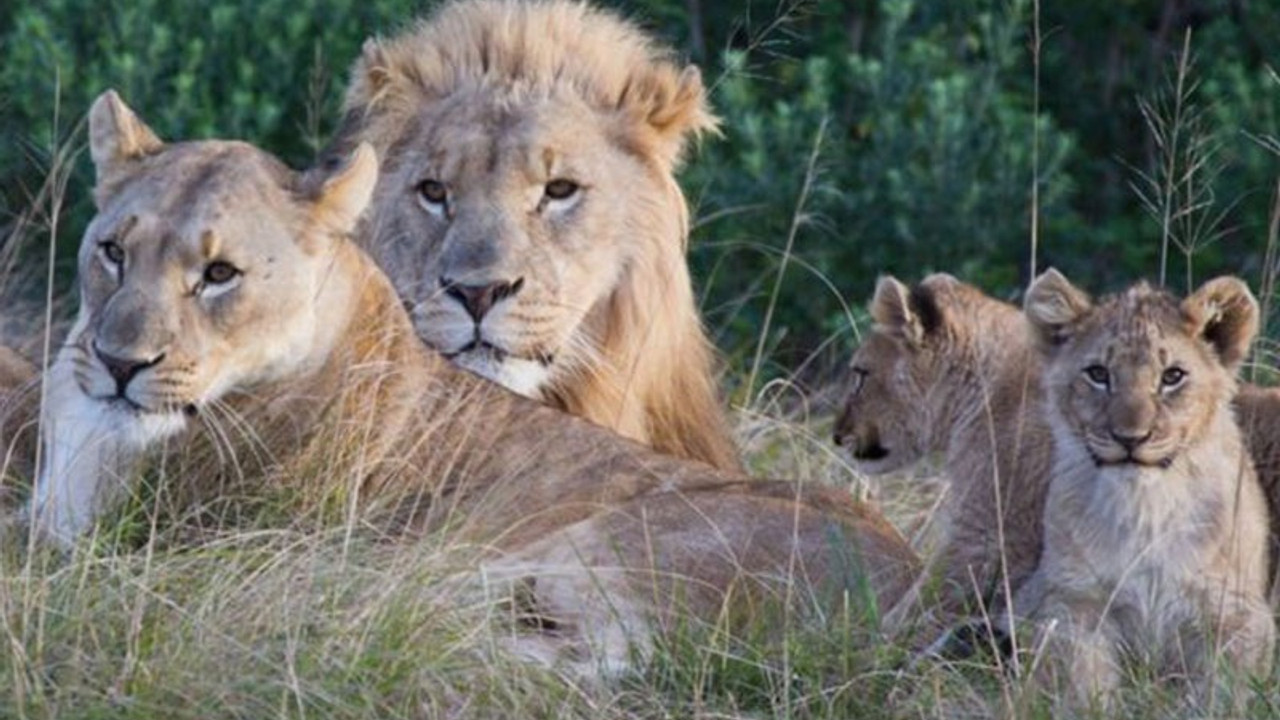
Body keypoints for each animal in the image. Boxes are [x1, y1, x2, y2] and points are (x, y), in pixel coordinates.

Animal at [24, 89, 916, 671]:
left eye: (218, 275)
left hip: (583, 548)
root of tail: (920, 600)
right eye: (112, 252)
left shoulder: (153, 552)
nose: (120, 364)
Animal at [1013, 267, 1274, 707]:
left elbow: (1220, 692)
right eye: (1098, 374)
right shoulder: (1071, 603)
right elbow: (1083, 683)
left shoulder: (1237, 615)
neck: (1145, 507)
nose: (1130, 438)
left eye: (1173, 377)